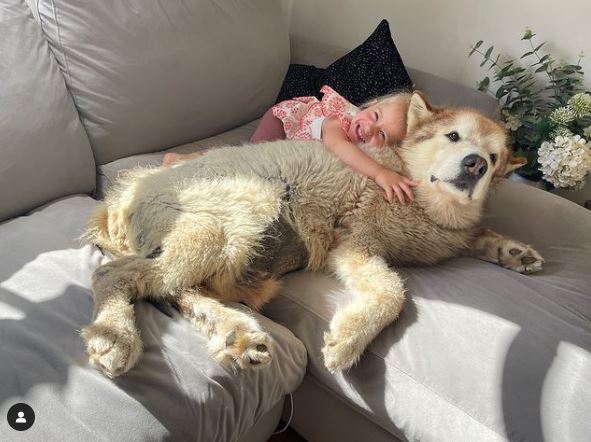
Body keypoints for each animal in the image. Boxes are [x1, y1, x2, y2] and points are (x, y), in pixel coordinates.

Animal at [83, 92, 544, 376]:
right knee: (114, 275)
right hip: (234, 217)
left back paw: (236, 333)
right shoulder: (354, 244)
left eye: (494, 157)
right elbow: (393, 292)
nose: (475, 164)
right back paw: (115, 336)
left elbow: (478, 234)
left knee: (176, 289)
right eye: (453, 136)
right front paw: (351, 340)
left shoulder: (447, 235)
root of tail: (118, 197)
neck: (420, 197)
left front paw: (514, 251)